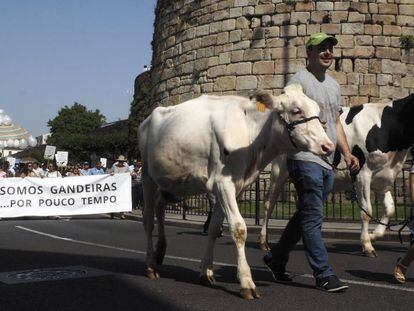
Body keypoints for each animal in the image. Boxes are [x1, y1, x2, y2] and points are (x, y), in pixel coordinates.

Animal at [138, 84, 334, 302]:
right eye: (296, 110)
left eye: (317, 110)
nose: (328, 146)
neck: (251, 134)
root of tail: (148, 118)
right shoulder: (223, 183)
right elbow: (239, 228)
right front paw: (247, 282)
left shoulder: (236, 186)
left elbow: (215, 228)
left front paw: (206, 272)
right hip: (147, 176)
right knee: (148, 219)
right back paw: (150, 265)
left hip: (171, 183)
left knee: (160, 207)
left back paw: (160, 251)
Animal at [258, 94, 414, 258]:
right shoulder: (362, 174)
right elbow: (367, 211)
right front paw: (367, 245)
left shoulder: (384, 177)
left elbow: (390, 209)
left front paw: (373, 235)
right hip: (279, 170)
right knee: (269, 203)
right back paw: (264, 241)